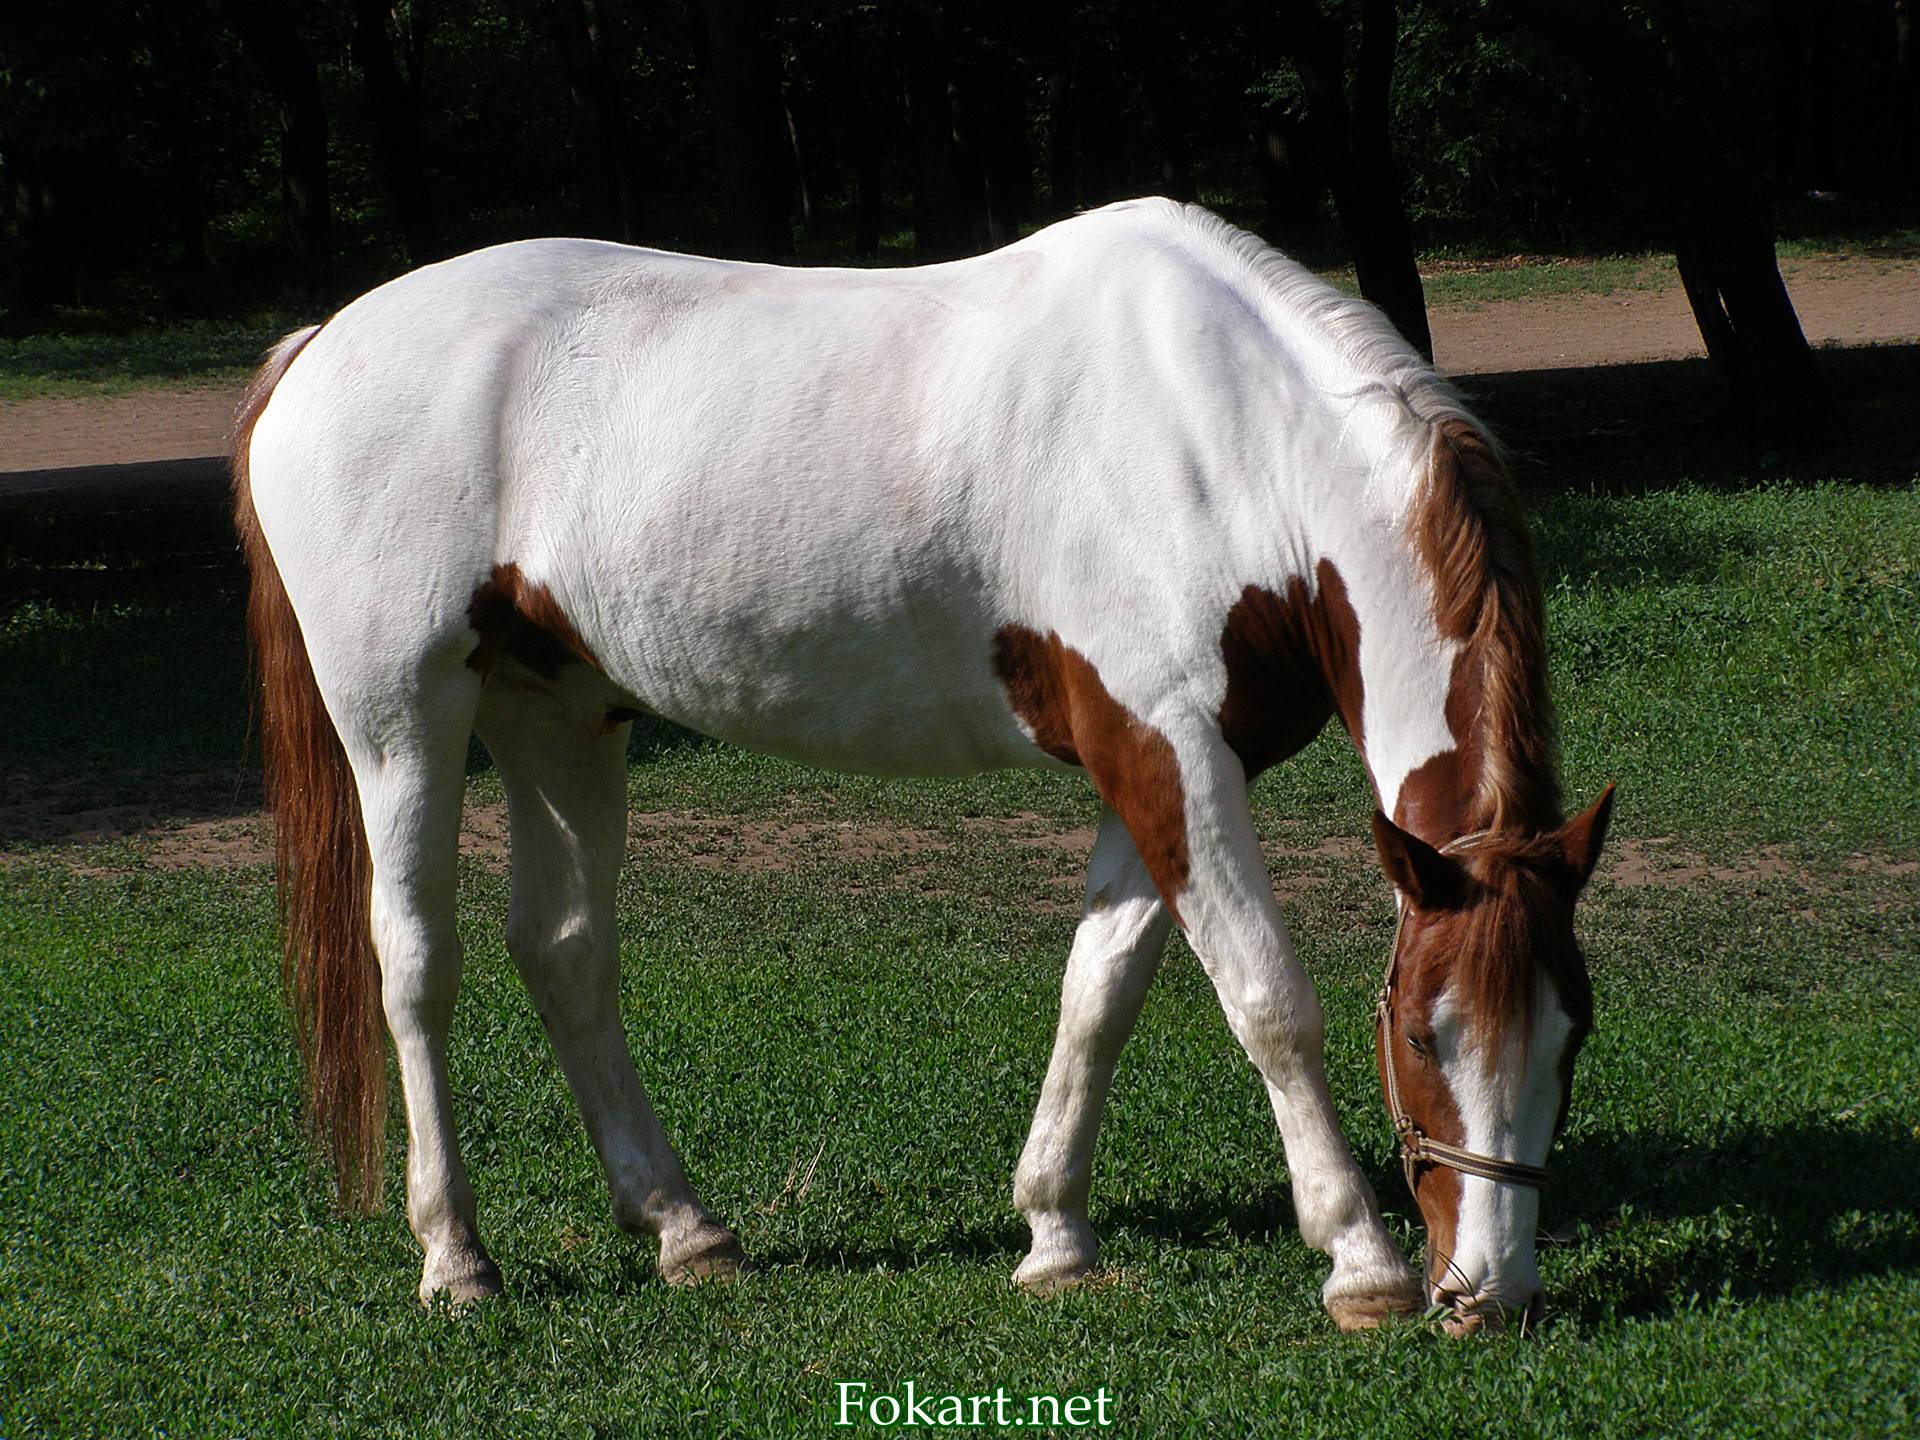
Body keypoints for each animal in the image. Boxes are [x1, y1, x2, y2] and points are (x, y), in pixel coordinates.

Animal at [232, 197, 1614, 1336]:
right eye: (1425, 1035)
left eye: (1572, 1035)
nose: (1487, 1294)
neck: (1222, 439)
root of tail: (324, 343)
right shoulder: (1168, 749)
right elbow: (1267, 998)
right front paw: (1359, 1262)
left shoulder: (1148, 765)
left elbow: (1100, 989)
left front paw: (1054, 1235)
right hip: (401, 717)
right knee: (417, 962)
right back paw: (456, 1258)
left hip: (557, 714)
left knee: (564, 951)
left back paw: (686, 1231)